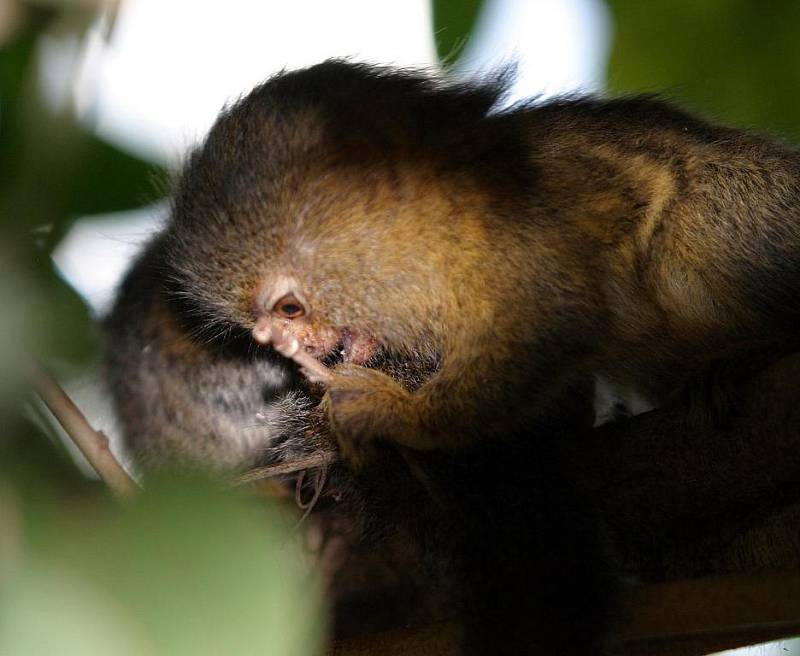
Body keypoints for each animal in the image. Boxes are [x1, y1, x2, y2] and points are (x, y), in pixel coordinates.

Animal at [164, 59, 800, 464]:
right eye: (261, 329)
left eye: (289, 309)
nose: (287, 346)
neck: (440, 235)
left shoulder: (516, 243)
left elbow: (556, 322)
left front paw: (397, 414)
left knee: (687, 220)